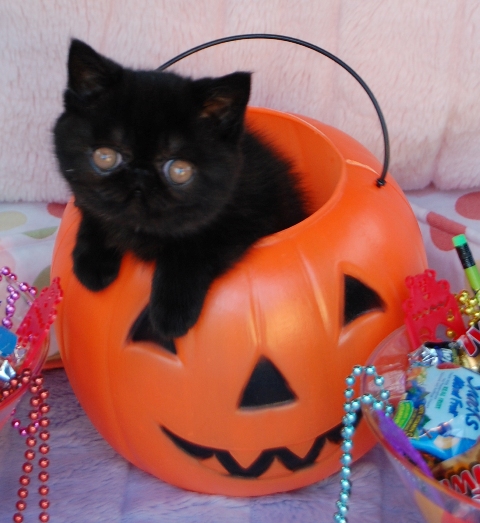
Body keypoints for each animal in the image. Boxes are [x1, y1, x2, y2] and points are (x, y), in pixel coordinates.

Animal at [53, 37, 308, 340]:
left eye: (179, 171)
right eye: (105, 157)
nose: (140, 177)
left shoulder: (251, 213)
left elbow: (193, 248)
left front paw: (171, 312)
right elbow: (94, 210)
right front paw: (91, 263)